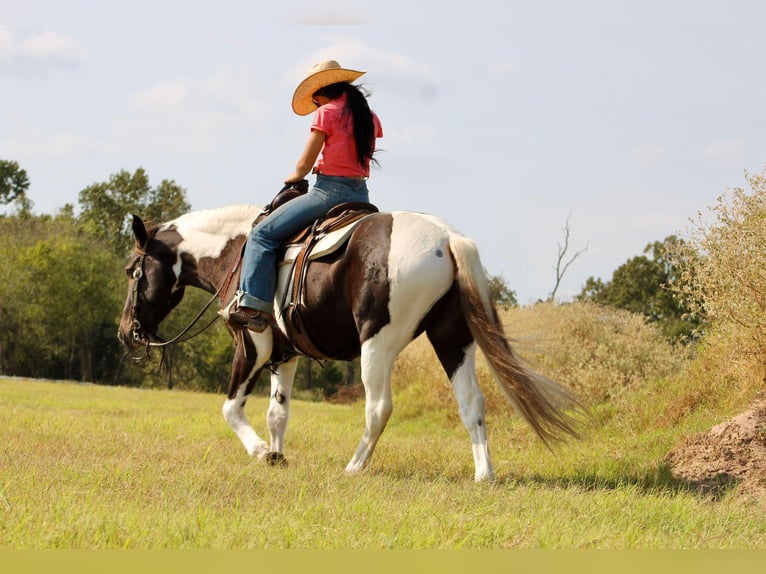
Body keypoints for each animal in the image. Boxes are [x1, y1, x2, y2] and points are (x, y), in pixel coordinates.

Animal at [117, 203, 585, 481]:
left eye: (130, 270)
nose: (125, 332)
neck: (239, 250)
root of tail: (447, 239)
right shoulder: (285, 355)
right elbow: (277, 414)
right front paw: (279, 455)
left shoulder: (254, 344)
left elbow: (231, 408)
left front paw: (262, 453)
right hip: (452, 339)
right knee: (472, 402)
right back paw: (484, 474)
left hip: (378, 344)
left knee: (379, 407)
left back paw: (356, 466)